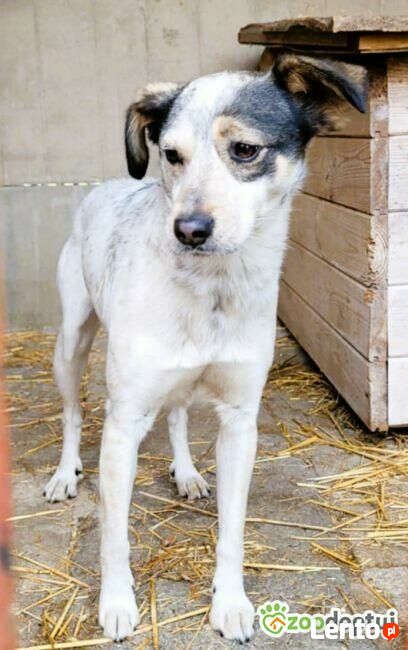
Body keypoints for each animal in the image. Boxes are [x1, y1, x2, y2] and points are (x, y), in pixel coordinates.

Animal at [43, 54, 367, 643]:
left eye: (244, 150)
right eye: (172, 156)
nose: (189, 229)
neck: (212, 288)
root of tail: (105, 186)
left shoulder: (240, 420)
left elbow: (232, 532)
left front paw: (231, 603)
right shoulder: (123, 423)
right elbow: (114, 535)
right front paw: (116, 603)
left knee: (175, 416)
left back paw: (187, 472)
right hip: (71, 341)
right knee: (74, 411)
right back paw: (64, 474)